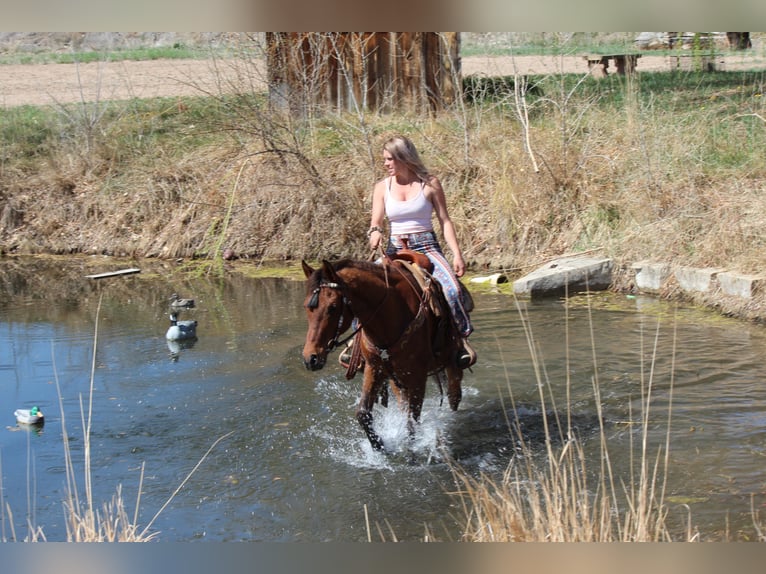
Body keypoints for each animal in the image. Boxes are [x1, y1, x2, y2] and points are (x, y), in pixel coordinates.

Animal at [301, 255, 464, 451]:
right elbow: (363, 413)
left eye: (332, 307)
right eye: (306, 306)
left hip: (448, 365)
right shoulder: (374, 369)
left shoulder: (418, 377)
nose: (310, 358)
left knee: (454, 395)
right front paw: (378, 445)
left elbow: (412, 424)